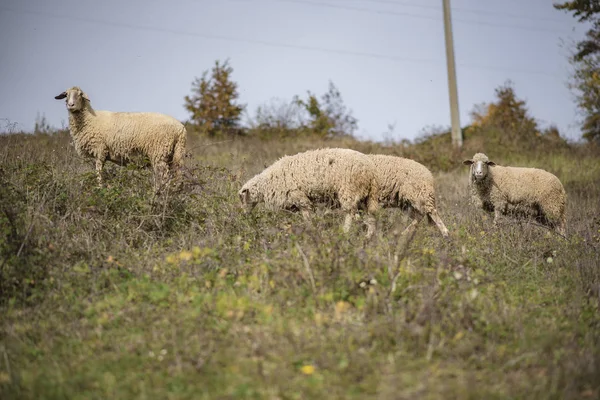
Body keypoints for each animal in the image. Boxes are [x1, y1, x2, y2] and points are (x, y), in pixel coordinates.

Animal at [56, 86, 189, 193]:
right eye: (66, 95)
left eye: (80, 94)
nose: (70, 105)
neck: (89, 119)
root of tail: (180, 129)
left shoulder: (100, 150)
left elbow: (99, 172)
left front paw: (100, 188)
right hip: (175, 154)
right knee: (178, 175)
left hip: (159, 152)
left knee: (164, 177)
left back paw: (159, 193)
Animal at [236, 148, 380, 239]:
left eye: (242, 199)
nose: (244, 215)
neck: (267, 183)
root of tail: (371, 170)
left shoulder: (299, 197)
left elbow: (307, 216)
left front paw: (311, 230)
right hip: (368, 197)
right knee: (371, 216)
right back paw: (369, 236)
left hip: (349, 190)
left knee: (350, 214)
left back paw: (345, 232)